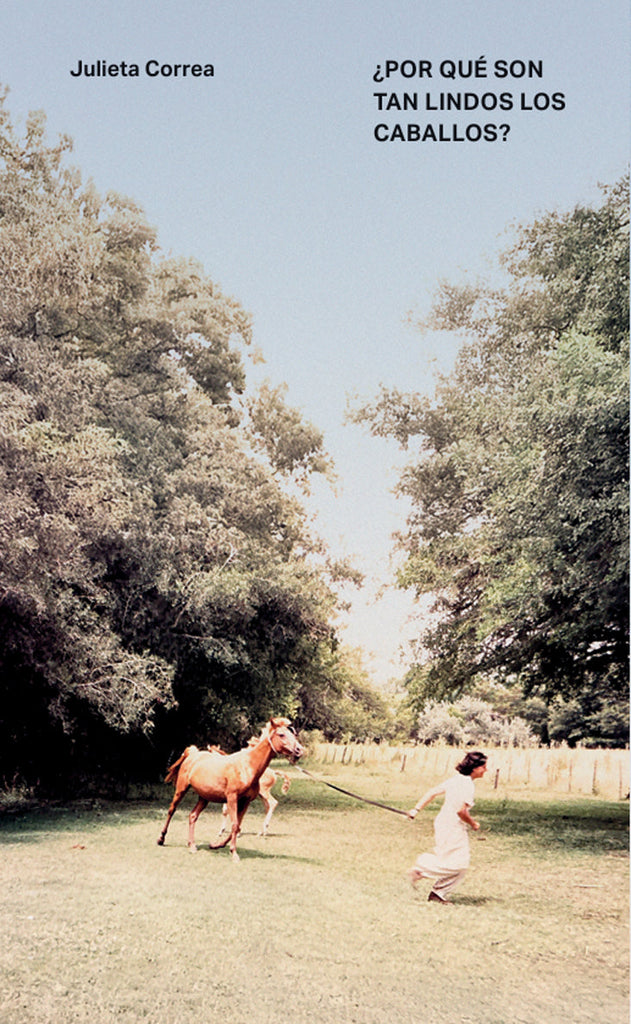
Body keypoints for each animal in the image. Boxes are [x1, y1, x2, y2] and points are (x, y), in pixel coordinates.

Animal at [157, 718, 303, 862]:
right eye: (281, 734)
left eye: (293, 734)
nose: (299, 750)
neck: (247, 767)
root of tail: (192, 754)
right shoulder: (232, 798)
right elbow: (234, 824)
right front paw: (234, 854)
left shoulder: (246, 801)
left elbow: (237, 826)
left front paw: (216, 845)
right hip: (181, 789)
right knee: (171, 810)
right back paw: (161, 839)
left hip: (204, 798)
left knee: (193, 816)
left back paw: (192, 845)